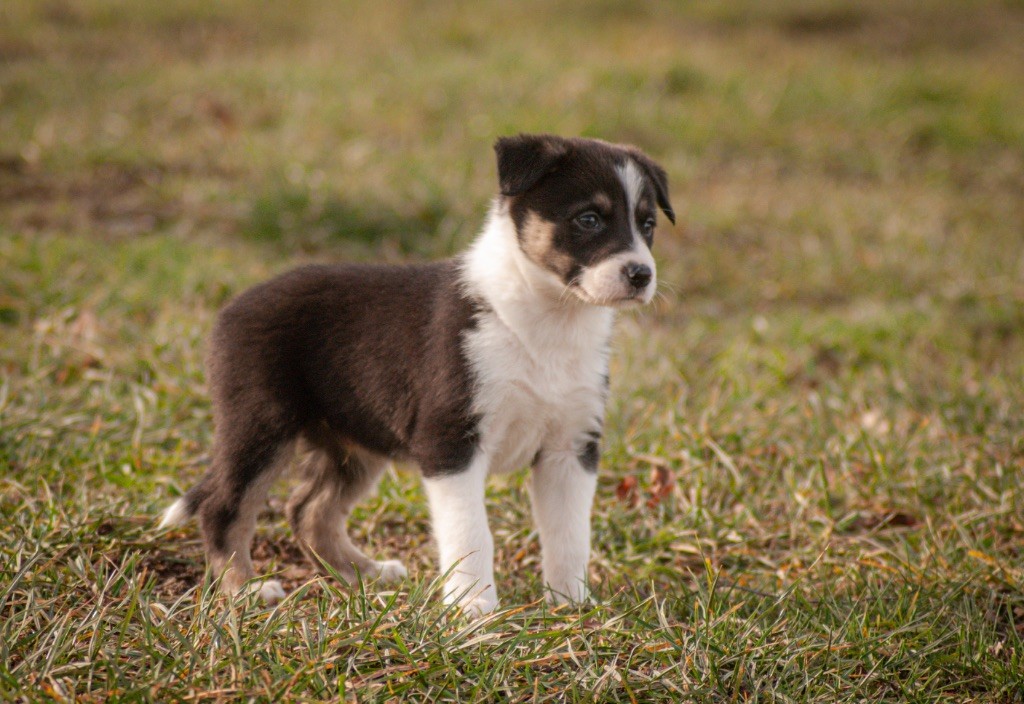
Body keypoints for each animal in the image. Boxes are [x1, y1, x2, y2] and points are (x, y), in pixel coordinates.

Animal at [157, 133, 671, 613]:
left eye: (647, 224)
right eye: (589, 219)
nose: (641, 275)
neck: (548, 322)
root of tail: (231, 309)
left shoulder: (571, 446)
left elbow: (569, 534)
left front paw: (571, 605)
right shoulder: (450, 440)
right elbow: (471, 533)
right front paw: (474, 612)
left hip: (353, 440)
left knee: (309, 511)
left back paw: (364, 573)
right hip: (261, 422)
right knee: (225, 507)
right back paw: (245, 590)